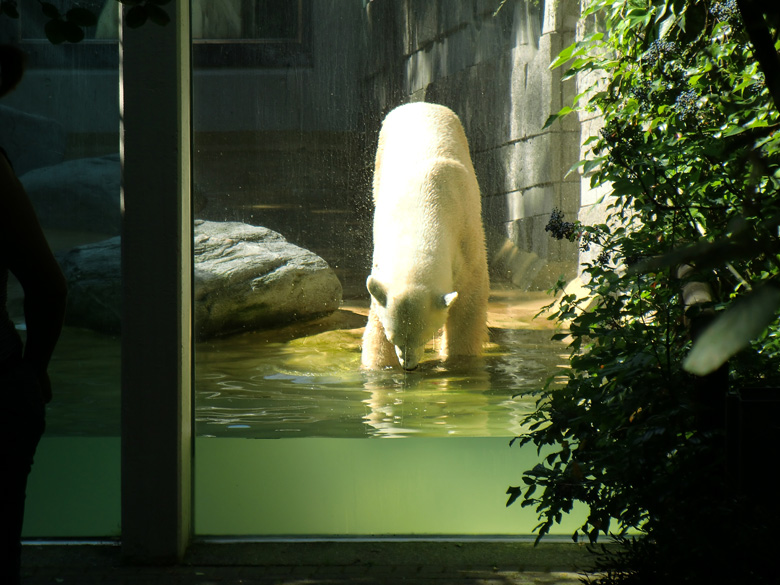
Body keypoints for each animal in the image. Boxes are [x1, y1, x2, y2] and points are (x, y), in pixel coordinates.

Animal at [362, 102, 488, 370]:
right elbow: (376, 313)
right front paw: (379, 365)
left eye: (426, 335)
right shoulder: (381, 259)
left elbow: (467, 305)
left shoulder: (467, 239)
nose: (408, 366)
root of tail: (419, 104)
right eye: (393, 336)